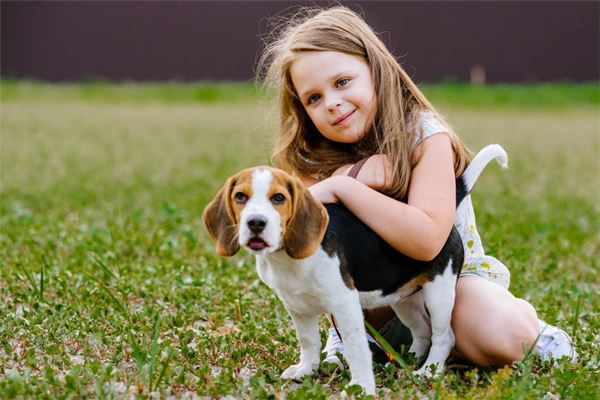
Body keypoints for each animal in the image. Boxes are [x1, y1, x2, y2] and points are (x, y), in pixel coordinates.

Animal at [204, 145, 508, 394]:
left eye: (278, 198)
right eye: (240, 197)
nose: (255, 223)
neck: (288, 260)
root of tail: (443, 224)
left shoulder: (345, 304)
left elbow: (355, 347)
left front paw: (361, 386)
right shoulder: (297, 307)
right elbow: (308, 341)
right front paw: (305, 370)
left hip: (440, 291)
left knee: (443, 335)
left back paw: (428, 372)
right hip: (404, 299)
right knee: (422, 330)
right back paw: (408, 361)